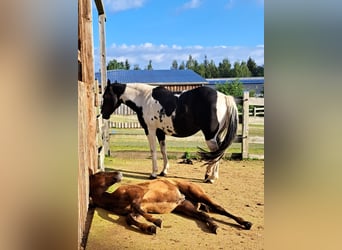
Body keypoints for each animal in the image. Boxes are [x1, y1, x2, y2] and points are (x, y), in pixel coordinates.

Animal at [89, 170, 252, 234]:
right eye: (100, 173)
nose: (119, 173)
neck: (115, 198)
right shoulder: (137, 211)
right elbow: (130, 218)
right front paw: (149, 228)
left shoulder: (139, 195)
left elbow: (136, 207)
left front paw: (156, 221)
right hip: (185, 207)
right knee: (203, 215)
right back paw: (214, 226)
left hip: (198, 194)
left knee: (219, 208)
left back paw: (245, 223)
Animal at [101, 81, 238, 183]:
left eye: (105, 96)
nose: (103, 114)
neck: (144, 98)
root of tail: (224, 97)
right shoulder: (160, 132)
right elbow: (163, 150)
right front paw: (163, 171)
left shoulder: (150, 130)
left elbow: (153, 151)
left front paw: (154, 174)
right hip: (216, 136)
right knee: (218, 153)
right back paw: (211, 175)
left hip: (210, 136)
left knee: (216, 154)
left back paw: (211, 178)